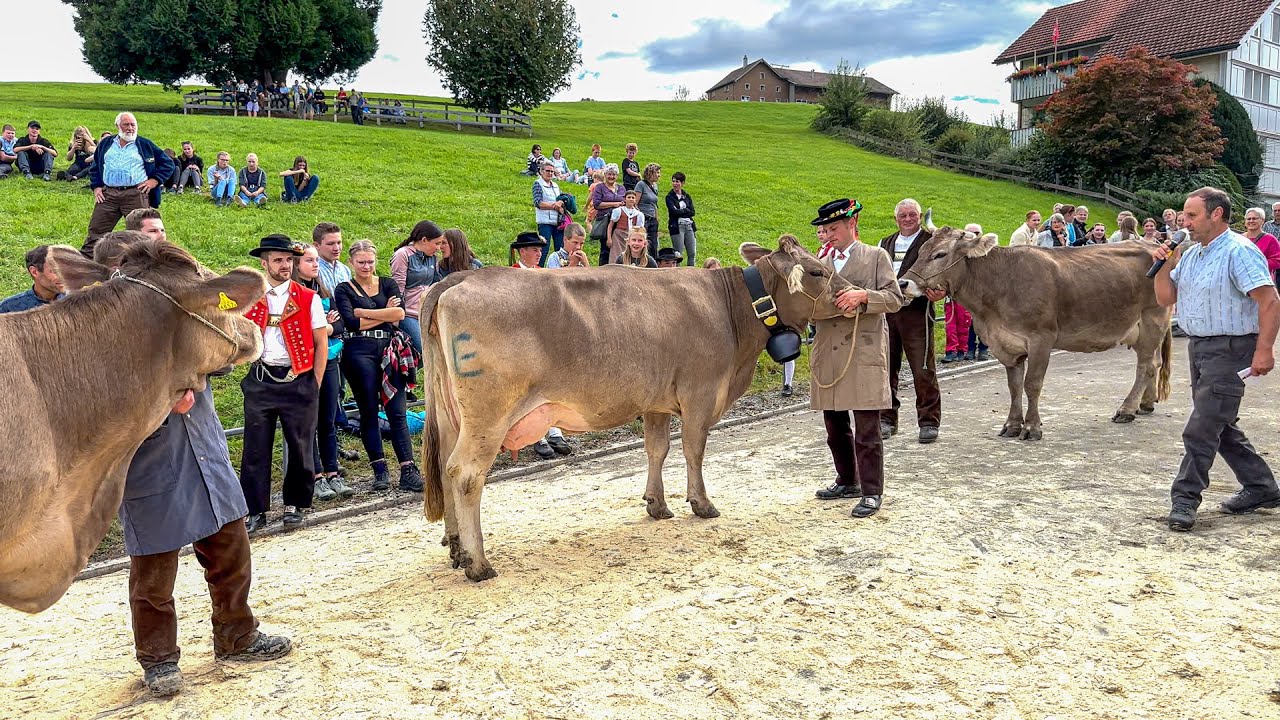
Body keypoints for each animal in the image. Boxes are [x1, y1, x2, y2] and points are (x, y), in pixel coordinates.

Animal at [419, 236, 853, 581]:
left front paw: (657, 504)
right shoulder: (700, 394)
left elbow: (657, 449)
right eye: (817, 271)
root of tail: (460, 278)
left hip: (450, 415)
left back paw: (456, 548)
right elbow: (693, 450)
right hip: (488, 415)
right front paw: (701, 503)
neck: (732, 310)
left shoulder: (657, 400)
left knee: (443, 466)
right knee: (465, 473)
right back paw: (478, 563)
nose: (853, 296)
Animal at [899, 225, 1171, 440]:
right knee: (1155, 363)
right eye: (920, 252)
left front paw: (1032, 427)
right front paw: (1011, 425)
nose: (903, 283)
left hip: (1152, 320)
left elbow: (1032, 384)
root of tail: (1155, 245)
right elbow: (1014, 386)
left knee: (1146, 366)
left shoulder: (1041, 338)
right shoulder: (1007, 345)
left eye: (940, 254)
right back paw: (1144, 404)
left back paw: (1126, 410)